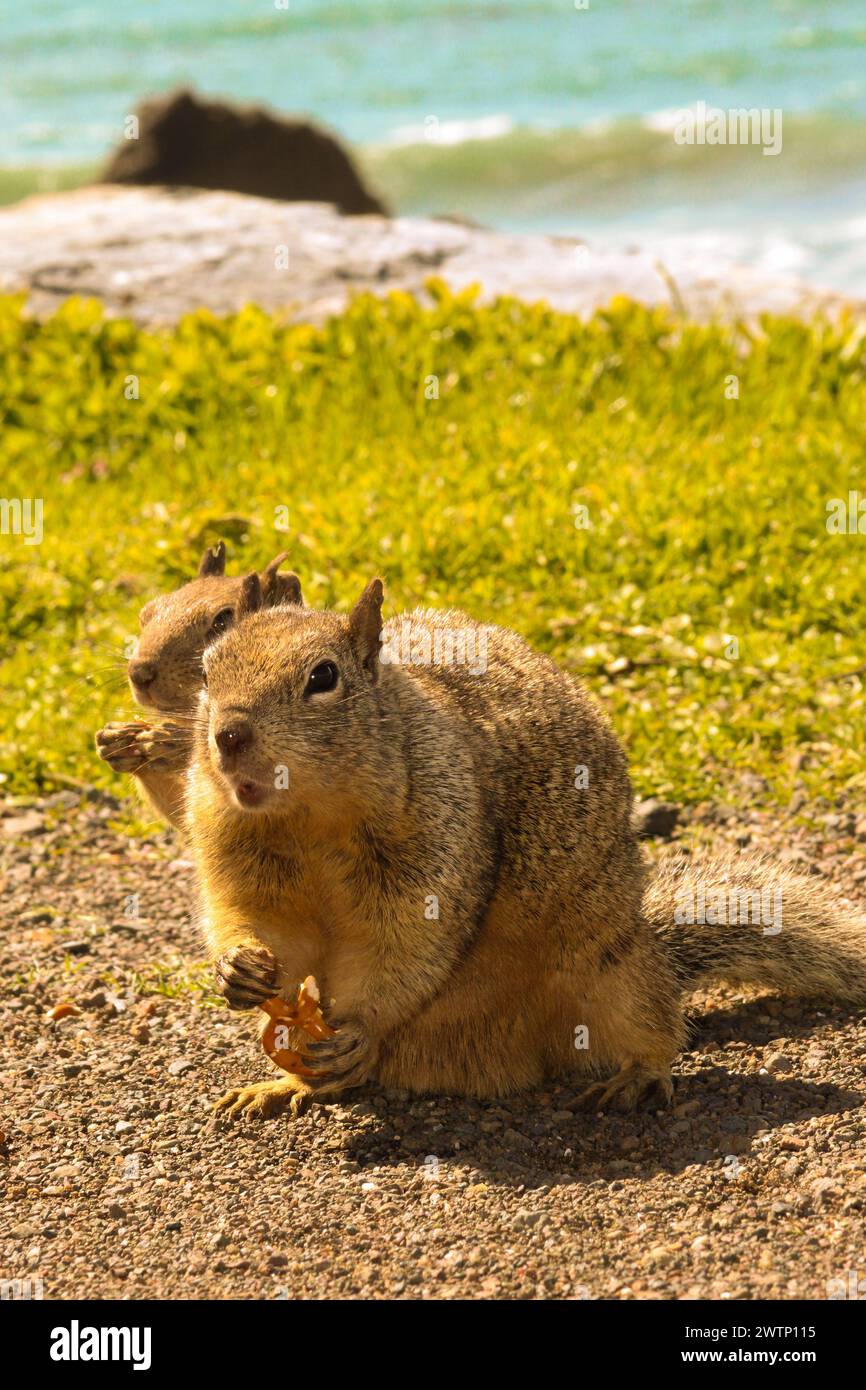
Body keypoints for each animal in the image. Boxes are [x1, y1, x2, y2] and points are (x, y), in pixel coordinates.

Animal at [184, 569, 866, 1123]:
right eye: (206, 671)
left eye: (323, 677)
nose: (229, 736)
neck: (307, 820)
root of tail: (504, 1061)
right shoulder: (236, 852)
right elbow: (266, 928)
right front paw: (238, 967)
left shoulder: (433, 851)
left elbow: (403, 949)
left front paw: (360, 1027)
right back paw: (282, 1087)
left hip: (613, 967)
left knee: (654, 1025)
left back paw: (638, 1078)